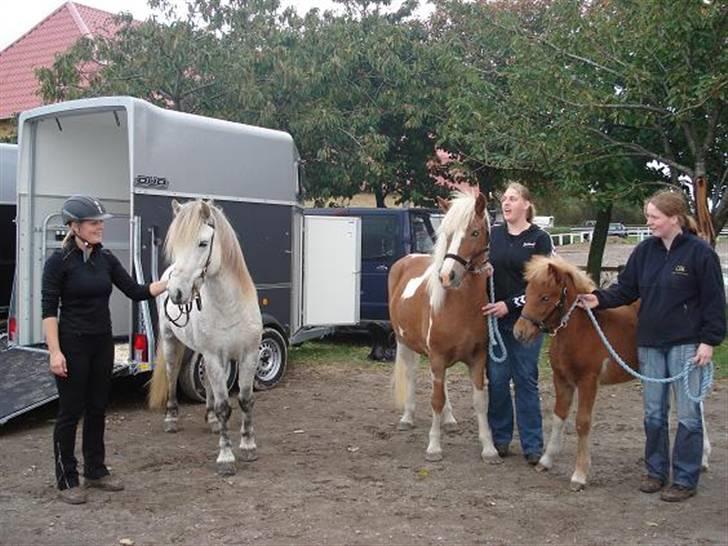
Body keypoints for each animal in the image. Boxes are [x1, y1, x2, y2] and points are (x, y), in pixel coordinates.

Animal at [148, 198, 262, 474]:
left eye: (202, 243)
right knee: (172, 375)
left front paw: (248, 445)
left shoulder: (248, 355)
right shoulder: (214, 357)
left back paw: (210, 419)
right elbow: (224, 406)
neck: (230, 306)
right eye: (175, 246)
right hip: (172, 342)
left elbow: (245, 399)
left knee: (209, 385)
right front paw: (226, 457)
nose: (177, 293)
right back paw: (171, 418)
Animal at [392, 191, 500, 464]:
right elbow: (436, 400)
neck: (460, 305)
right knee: (411, 374)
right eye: (448, 234)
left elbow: (480, 401)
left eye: (475, 232)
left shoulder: (477, 358)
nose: (446, 276)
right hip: (404, 343)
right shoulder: (437, 356)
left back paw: (449, 420)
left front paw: (489, 448)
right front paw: (433, 447)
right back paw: (407, 417)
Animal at [512, 255, 712, 488]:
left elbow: (582, 423)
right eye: (527, 293)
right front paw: (546, 460)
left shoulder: (588, 381)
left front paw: (579, 475)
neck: (581, 331)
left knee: (696, 408)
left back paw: (702, 459)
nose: (520, 332)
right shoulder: (561, 379)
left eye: (545, 297)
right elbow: (558, 416)